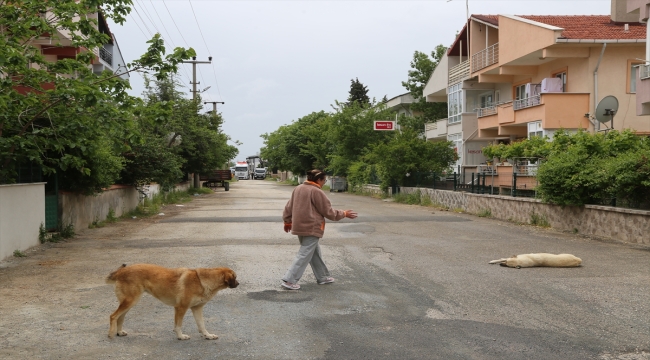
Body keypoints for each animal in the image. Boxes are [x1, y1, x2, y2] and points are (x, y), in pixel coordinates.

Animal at [106, 262, 238, 338]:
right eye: (235, 277)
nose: (238, 284)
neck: (202, 281)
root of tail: (121, 271)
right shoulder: (181, 308)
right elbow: (178, 325)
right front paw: (181, 336)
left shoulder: (197, 309)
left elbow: (201, 325)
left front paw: (208, 335)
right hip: (130, 301)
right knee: (113, 316)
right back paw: (111, 334)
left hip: (129, 303)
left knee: (120, 317)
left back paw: (119, 332)